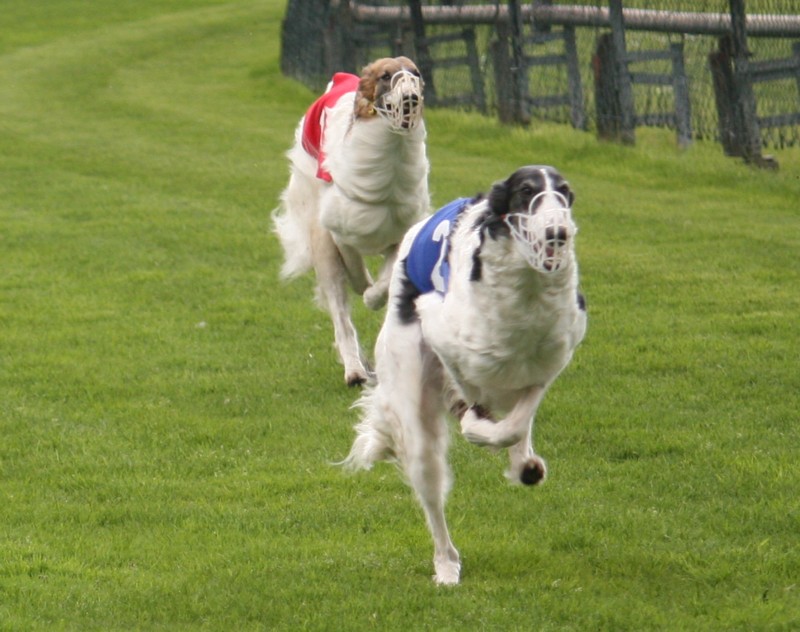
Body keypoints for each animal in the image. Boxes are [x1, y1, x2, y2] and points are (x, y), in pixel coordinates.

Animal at [273, 57, 429, 386]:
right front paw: (364, 286)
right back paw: (355, 369)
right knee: (341, 316)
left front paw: (373, 295)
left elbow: (386, 279)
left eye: (416, 73)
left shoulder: (399, 232)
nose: (410, 98)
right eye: (385, 76)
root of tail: (340, 78)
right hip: (321, 241)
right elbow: (354, 267)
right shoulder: (338, 228)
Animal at [342, 166, 587, 584]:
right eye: (526, 191)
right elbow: (478, 410)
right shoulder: (441, 333)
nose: (558, 233)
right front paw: (478, 426)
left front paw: (521, 461)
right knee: (432, 498)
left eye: (565, 192)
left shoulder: (547, 361)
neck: (524, 299)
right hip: (413, 408)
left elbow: (517, 423)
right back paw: (446, 566)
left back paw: (522, 464)